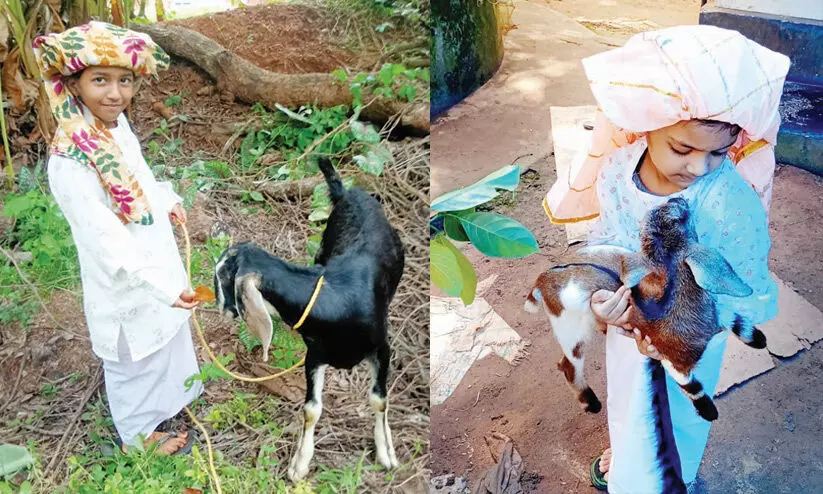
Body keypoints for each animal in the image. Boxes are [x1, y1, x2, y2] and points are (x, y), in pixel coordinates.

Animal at [214, 158, 405, 481]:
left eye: (223, 277)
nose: (219, 307)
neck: (336, 299)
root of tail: (347, 193)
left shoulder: (382, 349)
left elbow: (379, 398)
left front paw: (387, 453)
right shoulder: (315, 356)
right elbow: (311, 408)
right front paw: (299, 463)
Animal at [524, 197, 766, 422]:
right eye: (680, 219)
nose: (677, 199)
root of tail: (542, 279)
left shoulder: (717, 314)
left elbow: (737, 321)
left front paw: (759, 340)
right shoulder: (671, 358)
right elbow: (691, 387)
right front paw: (708, 411)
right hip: (570, 329)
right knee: (568, 365)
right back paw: (591, 403)